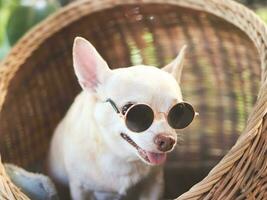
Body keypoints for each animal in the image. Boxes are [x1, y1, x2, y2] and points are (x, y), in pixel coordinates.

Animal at [48, 36, 195, 199]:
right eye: (129, 110)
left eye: (179, 112)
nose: (167, 140)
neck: (121, 158)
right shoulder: (79, 188)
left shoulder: (154, 184)